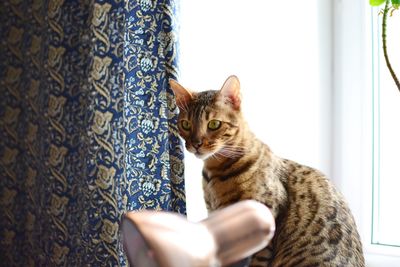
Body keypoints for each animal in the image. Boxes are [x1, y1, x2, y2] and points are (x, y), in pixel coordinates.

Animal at [169, 76, 366, 267]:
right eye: (186, 125)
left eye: (214, 124)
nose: (195, 144)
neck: (214, 172)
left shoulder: (264, 221)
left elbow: (257, 261)